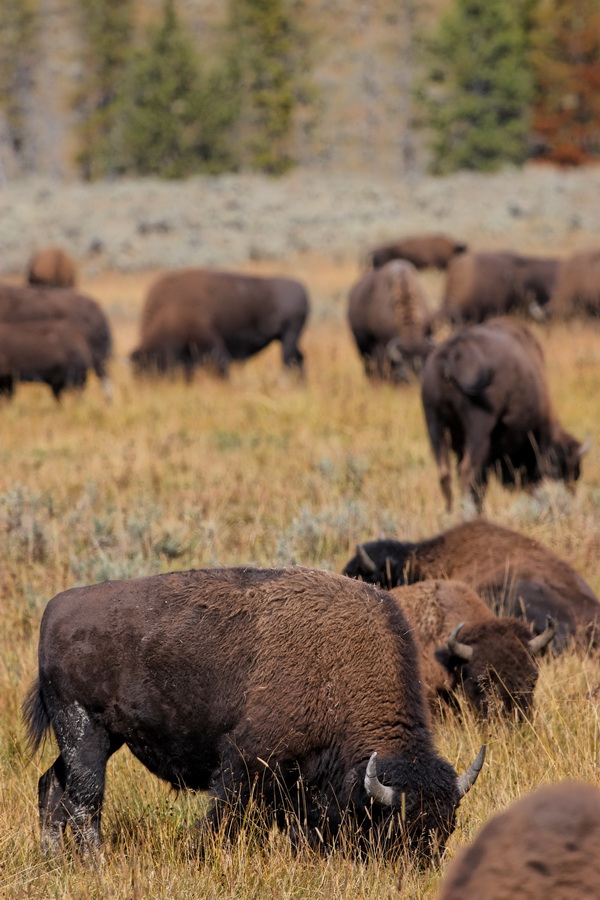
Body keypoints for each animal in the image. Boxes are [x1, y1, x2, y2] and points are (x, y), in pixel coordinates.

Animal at [23, 566, 484, 858]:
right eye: (397, 827)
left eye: (447, 828)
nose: (420, 869)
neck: (337, 666)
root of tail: (53, 610)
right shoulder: (249, 763)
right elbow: (226, 817)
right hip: (84, 728)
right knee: (85, 799)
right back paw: (95, 863)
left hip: (97, 738)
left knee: (52, 786)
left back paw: (53, 860)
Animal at [130, 268, 309, 378]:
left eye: (148, 365)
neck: (169, 310)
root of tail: (302, 290)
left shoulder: (211, 346)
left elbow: (221, 369)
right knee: (299, 359)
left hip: (288, 338)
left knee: (289, 361)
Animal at [421, 317, 585, 512]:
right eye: (564, 469)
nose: (569, 496)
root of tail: (451, 353)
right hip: (478, 430)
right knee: (469, 471)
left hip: (434, 424)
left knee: (445, 474)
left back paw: (451, 512)